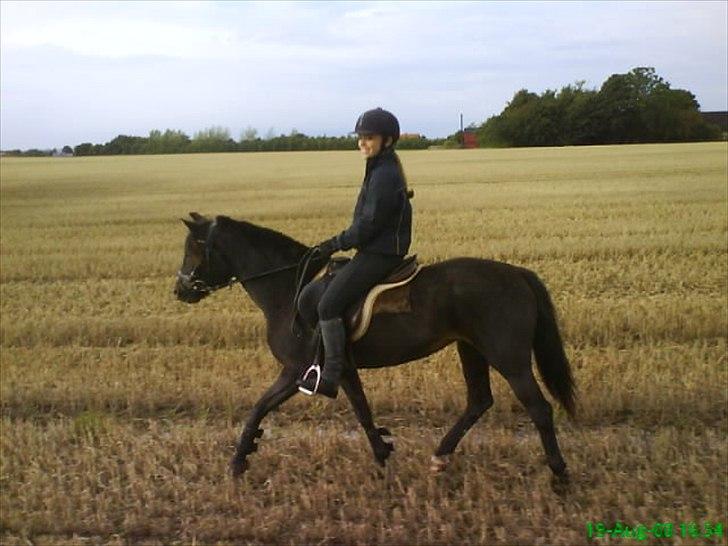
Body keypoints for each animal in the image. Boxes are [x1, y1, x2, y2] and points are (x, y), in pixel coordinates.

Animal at [175, 212, 576, 480]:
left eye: (194, 249)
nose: (179, 290)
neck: (287, 290)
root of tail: (517, 274)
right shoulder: (340, 369)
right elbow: (362, 411)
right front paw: (382, 452)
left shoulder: (296, 370)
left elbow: (259, 408)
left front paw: (238, 460)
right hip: (471, 349)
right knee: (479, 401)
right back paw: (440, 455)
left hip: (508, 357)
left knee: (539, 409)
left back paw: (559, 473)